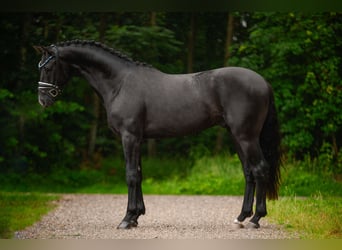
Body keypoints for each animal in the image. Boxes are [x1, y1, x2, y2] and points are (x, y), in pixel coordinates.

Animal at [34, 40, 280, 229]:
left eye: (48, 67)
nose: (43, 101)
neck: (120, 83)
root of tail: (263, 82)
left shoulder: (129, 137)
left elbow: (130, 175)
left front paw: (126, 219)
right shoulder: (138, 139)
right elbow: (139, 174)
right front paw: (136, 216)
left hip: (246, 137)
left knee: (260, 170)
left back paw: (256, 219)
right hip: (237, 136)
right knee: (249, 172)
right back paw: (241, 217)